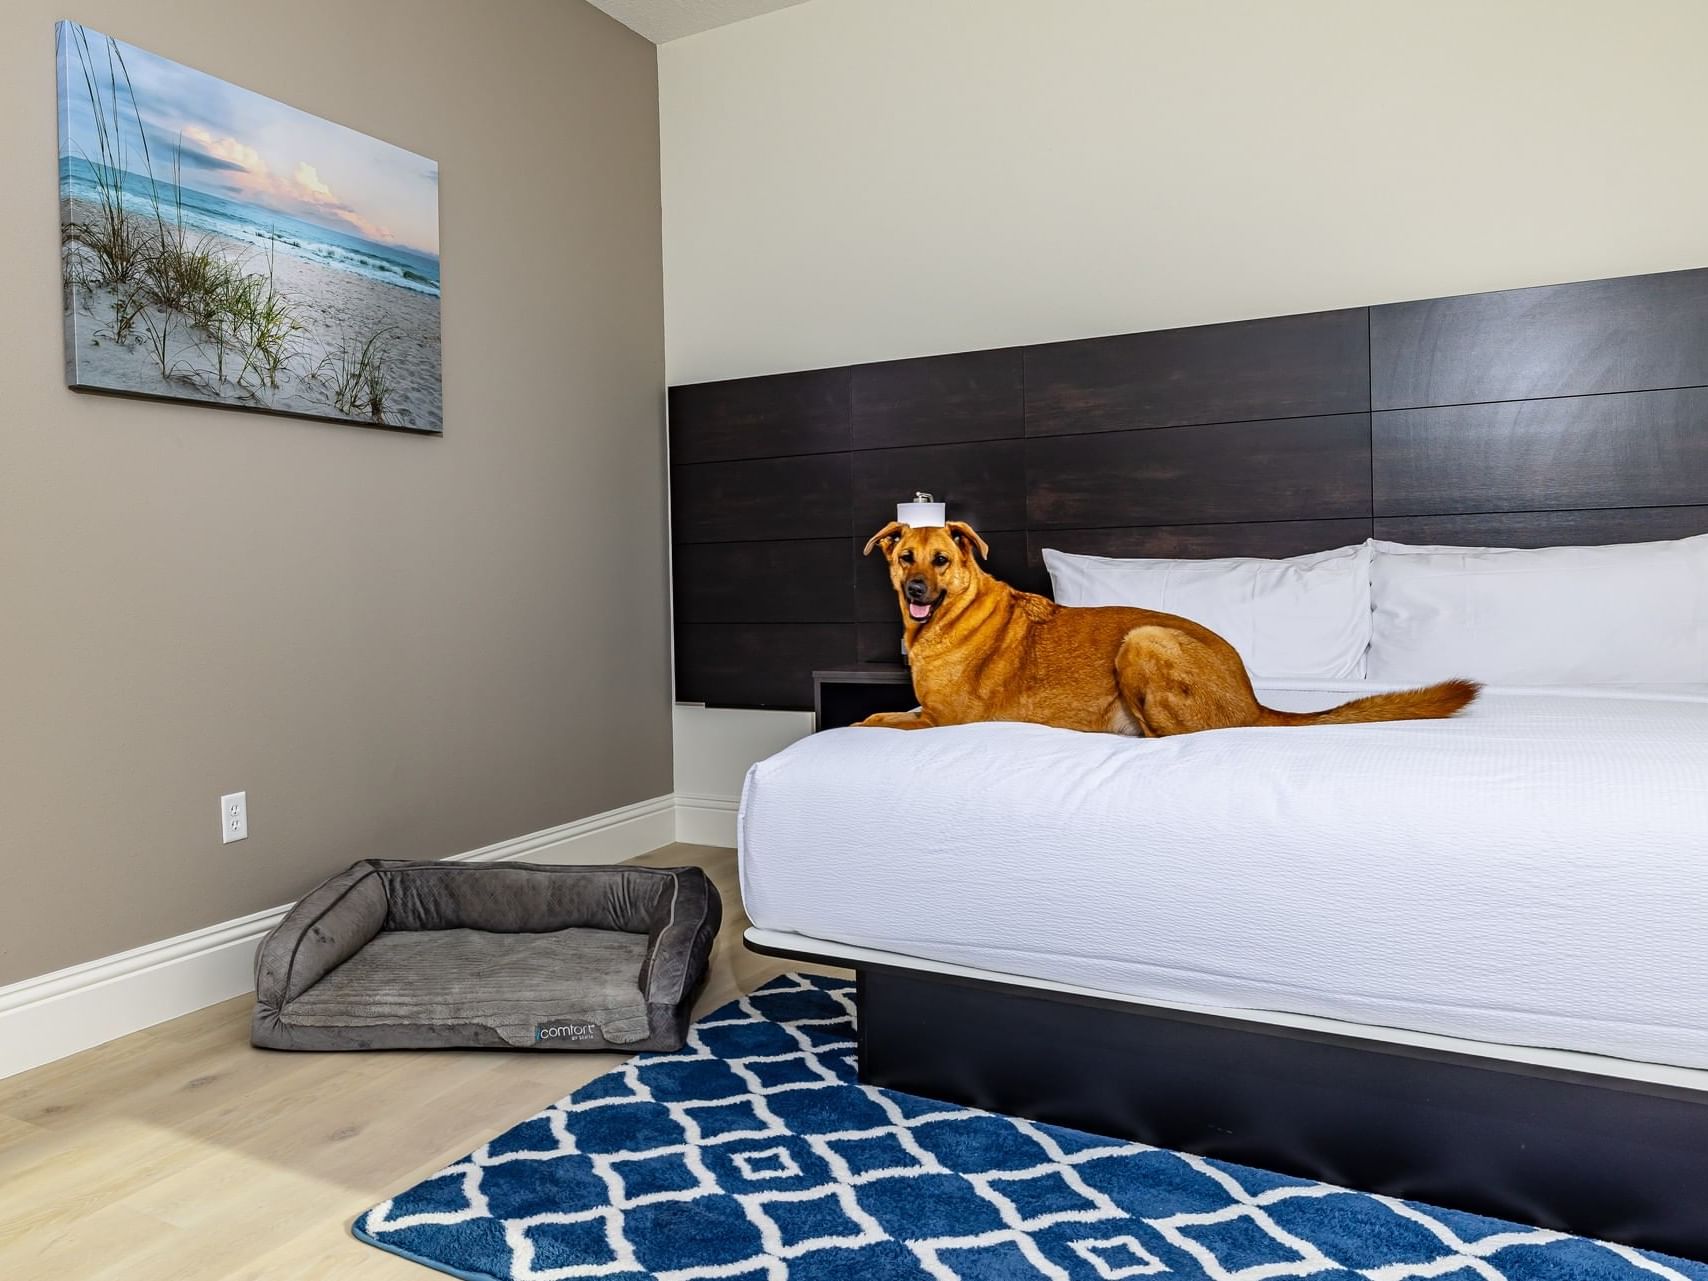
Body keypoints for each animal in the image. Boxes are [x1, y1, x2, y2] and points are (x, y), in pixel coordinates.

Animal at [860, 522, 1475, 737]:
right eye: (905, 557)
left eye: (941, 560)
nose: (916, 590)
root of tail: (1254, 703)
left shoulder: (945, 719)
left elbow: (876, 718)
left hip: (1143, 640)